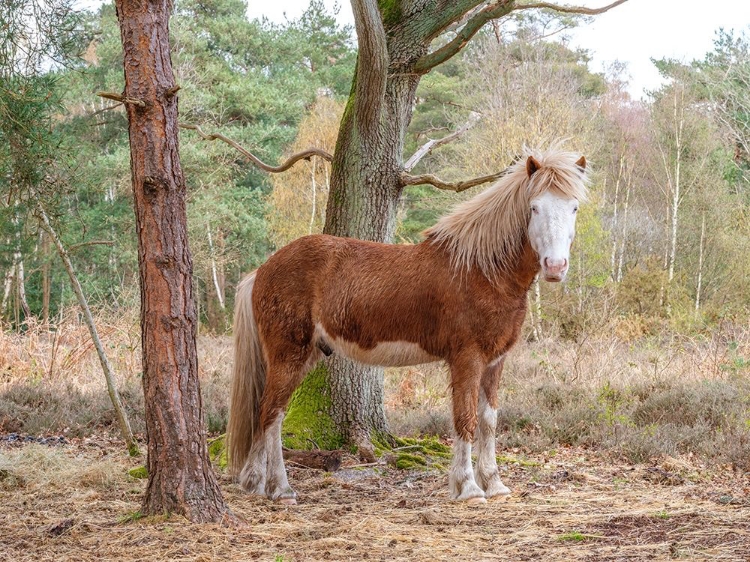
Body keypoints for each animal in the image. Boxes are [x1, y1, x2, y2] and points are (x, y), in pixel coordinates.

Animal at [226, 145, 592, 504]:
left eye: (574, 208)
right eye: (534, 208)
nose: (555, 266)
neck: (481, 271)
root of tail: (263, 269)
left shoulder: (495, 361)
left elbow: (488, 421)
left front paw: (495, 484)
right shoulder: (467, 359)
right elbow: (465, 419)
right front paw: (469, 489)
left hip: (305, 354)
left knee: (264, 412)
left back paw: (255, 482)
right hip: (289, 355)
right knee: (272, 413)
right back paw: (281, 488)